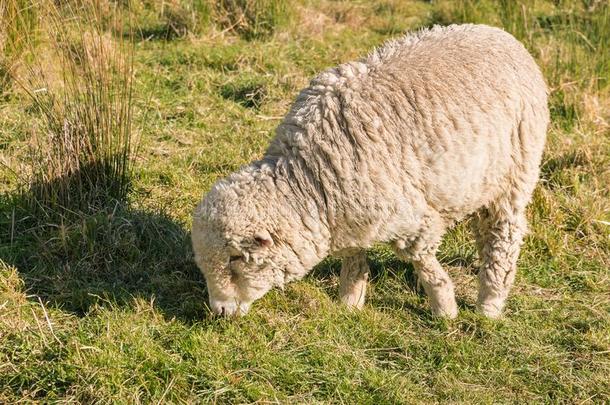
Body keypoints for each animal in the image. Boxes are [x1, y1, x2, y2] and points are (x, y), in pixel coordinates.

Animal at [192, 23, 548, 318]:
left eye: (235, 258)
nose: (218, 311)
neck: (311, 180)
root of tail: (502, 35)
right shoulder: (351, 212)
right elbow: (354, 255)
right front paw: (350, 302)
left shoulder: (412, 219)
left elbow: (422, 261)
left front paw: (444, 309)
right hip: (480, 179)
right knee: (485, 228)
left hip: (516, 172)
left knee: (504, 233)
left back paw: (490, 303)